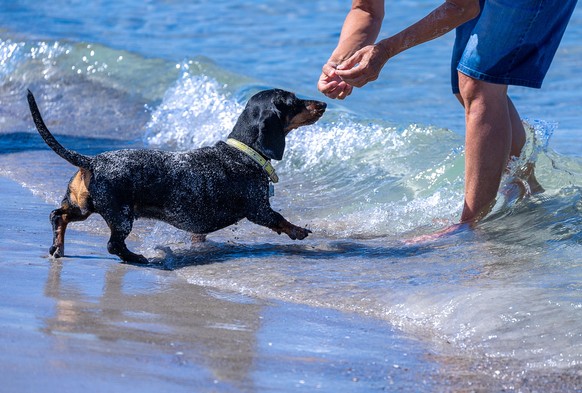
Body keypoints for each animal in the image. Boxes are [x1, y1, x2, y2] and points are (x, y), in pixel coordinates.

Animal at [27, 87, 326, 262]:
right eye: (294, 101)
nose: (323, 104)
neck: (244, 151)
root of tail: (93, 161)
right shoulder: (258, 209)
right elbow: (280, 219)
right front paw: (299, 231)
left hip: (83, 206)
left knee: (58, 216)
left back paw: (58, 246)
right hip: (122, 216)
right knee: (113, 245)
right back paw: (136, 258)